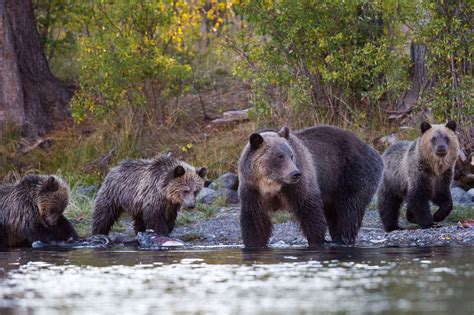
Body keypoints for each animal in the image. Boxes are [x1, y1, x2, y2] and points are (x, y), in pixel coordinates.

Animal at [239, 125, 384, 247]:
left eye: (291, 155)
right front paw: (253, 243)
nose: (295, 174)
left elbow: (309, 210)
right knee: (335, 213)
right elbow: (255, 219)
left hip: (353, 173)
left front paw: (316, 241)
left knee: (349, 208)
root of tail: (371, 149)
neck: (272, 184)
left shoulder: (298, 186)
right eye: (279, 156)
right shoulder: (253, 189)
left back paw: (343, 239)